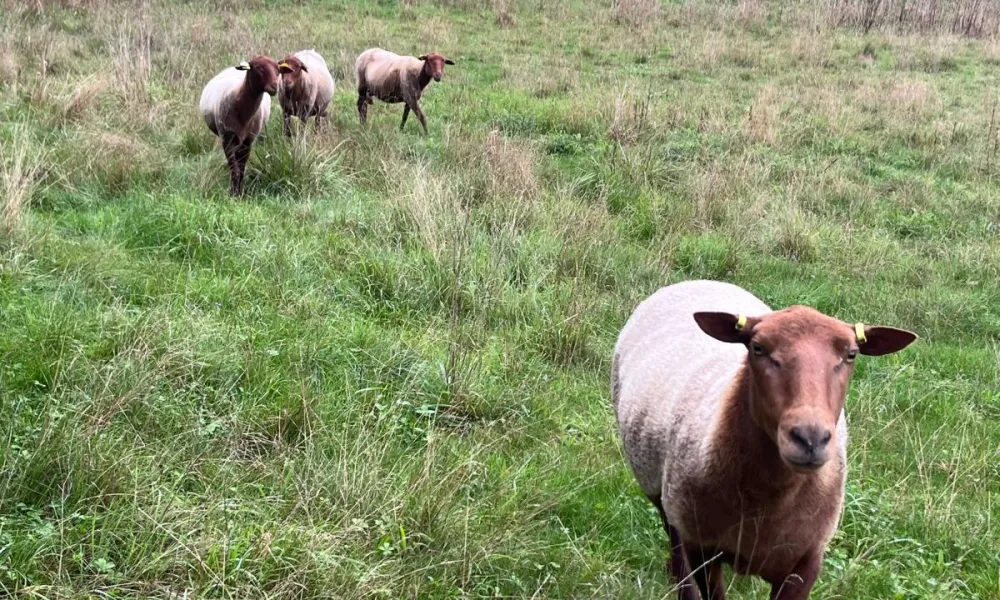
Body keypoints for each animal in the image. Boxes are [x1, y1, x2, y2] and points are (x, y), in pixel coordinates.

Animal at [199, 56, 279, 196]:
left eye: (278, 69)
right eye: (259, 68)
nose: (275, 87)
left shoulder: (248, 141)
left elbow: (241, 169)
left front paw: (240, 193)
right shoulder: (226, 138)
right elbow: (235, 170)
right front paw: (232, 194)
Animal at [611, 280, 917, 600]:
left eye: (852, 354)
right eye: (757, 348)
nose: (810, 438)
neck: (769, 498)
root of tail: (695, 281)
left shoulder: (807, 561)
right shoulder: (701, 545)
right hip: (665, 498)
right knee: (675, 550)